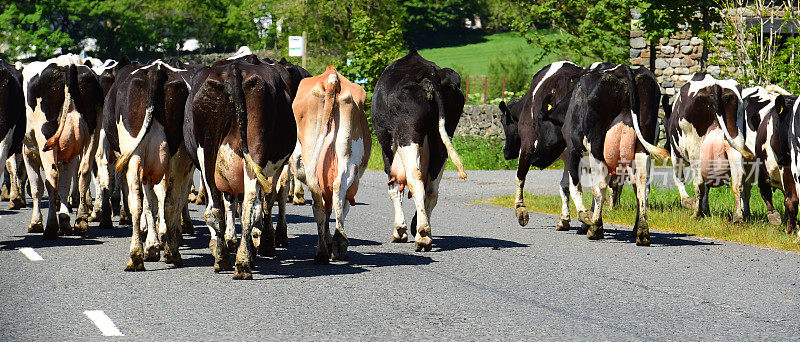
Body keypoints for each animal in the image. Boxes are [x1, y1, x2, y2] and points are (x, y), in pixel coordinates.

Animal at [372, 50, 466, 251]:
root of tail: (431, 72)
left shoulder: (387, 149)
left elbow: (393, 188)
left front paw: (400, 230)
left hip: (407, 135)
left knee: (415, 179)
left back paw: (422, 235)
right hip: (442, 142)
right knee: (432, 189)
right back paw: (423, 229)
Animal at [664, 73, 752, 222]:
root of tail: (714, 85)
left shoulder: (676, 154)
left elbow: (679, 179)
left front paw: (690, 203)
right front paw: (706, 209)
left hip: (695, 148)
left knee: (698, 183)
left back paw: (696, 213)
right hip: (735, 142)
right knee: (737, 181)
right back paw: (737, 217)